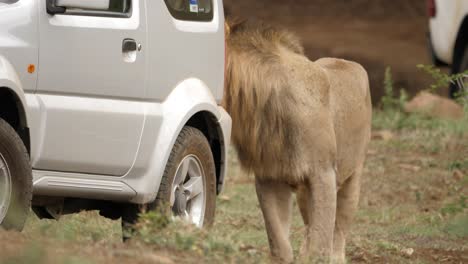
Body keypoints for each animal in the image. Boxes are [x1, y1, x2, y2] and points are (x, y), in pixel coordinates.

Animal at [223, 18, 372, 262]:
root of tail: (346, 61)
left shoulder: (324, 174)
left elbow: (321, 243)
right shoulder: (269, 177)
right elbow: (279, 243)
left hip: (353, 175)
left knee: (339, 228)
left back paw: (337, 257)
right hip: (303, 191)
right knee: (310, 224)